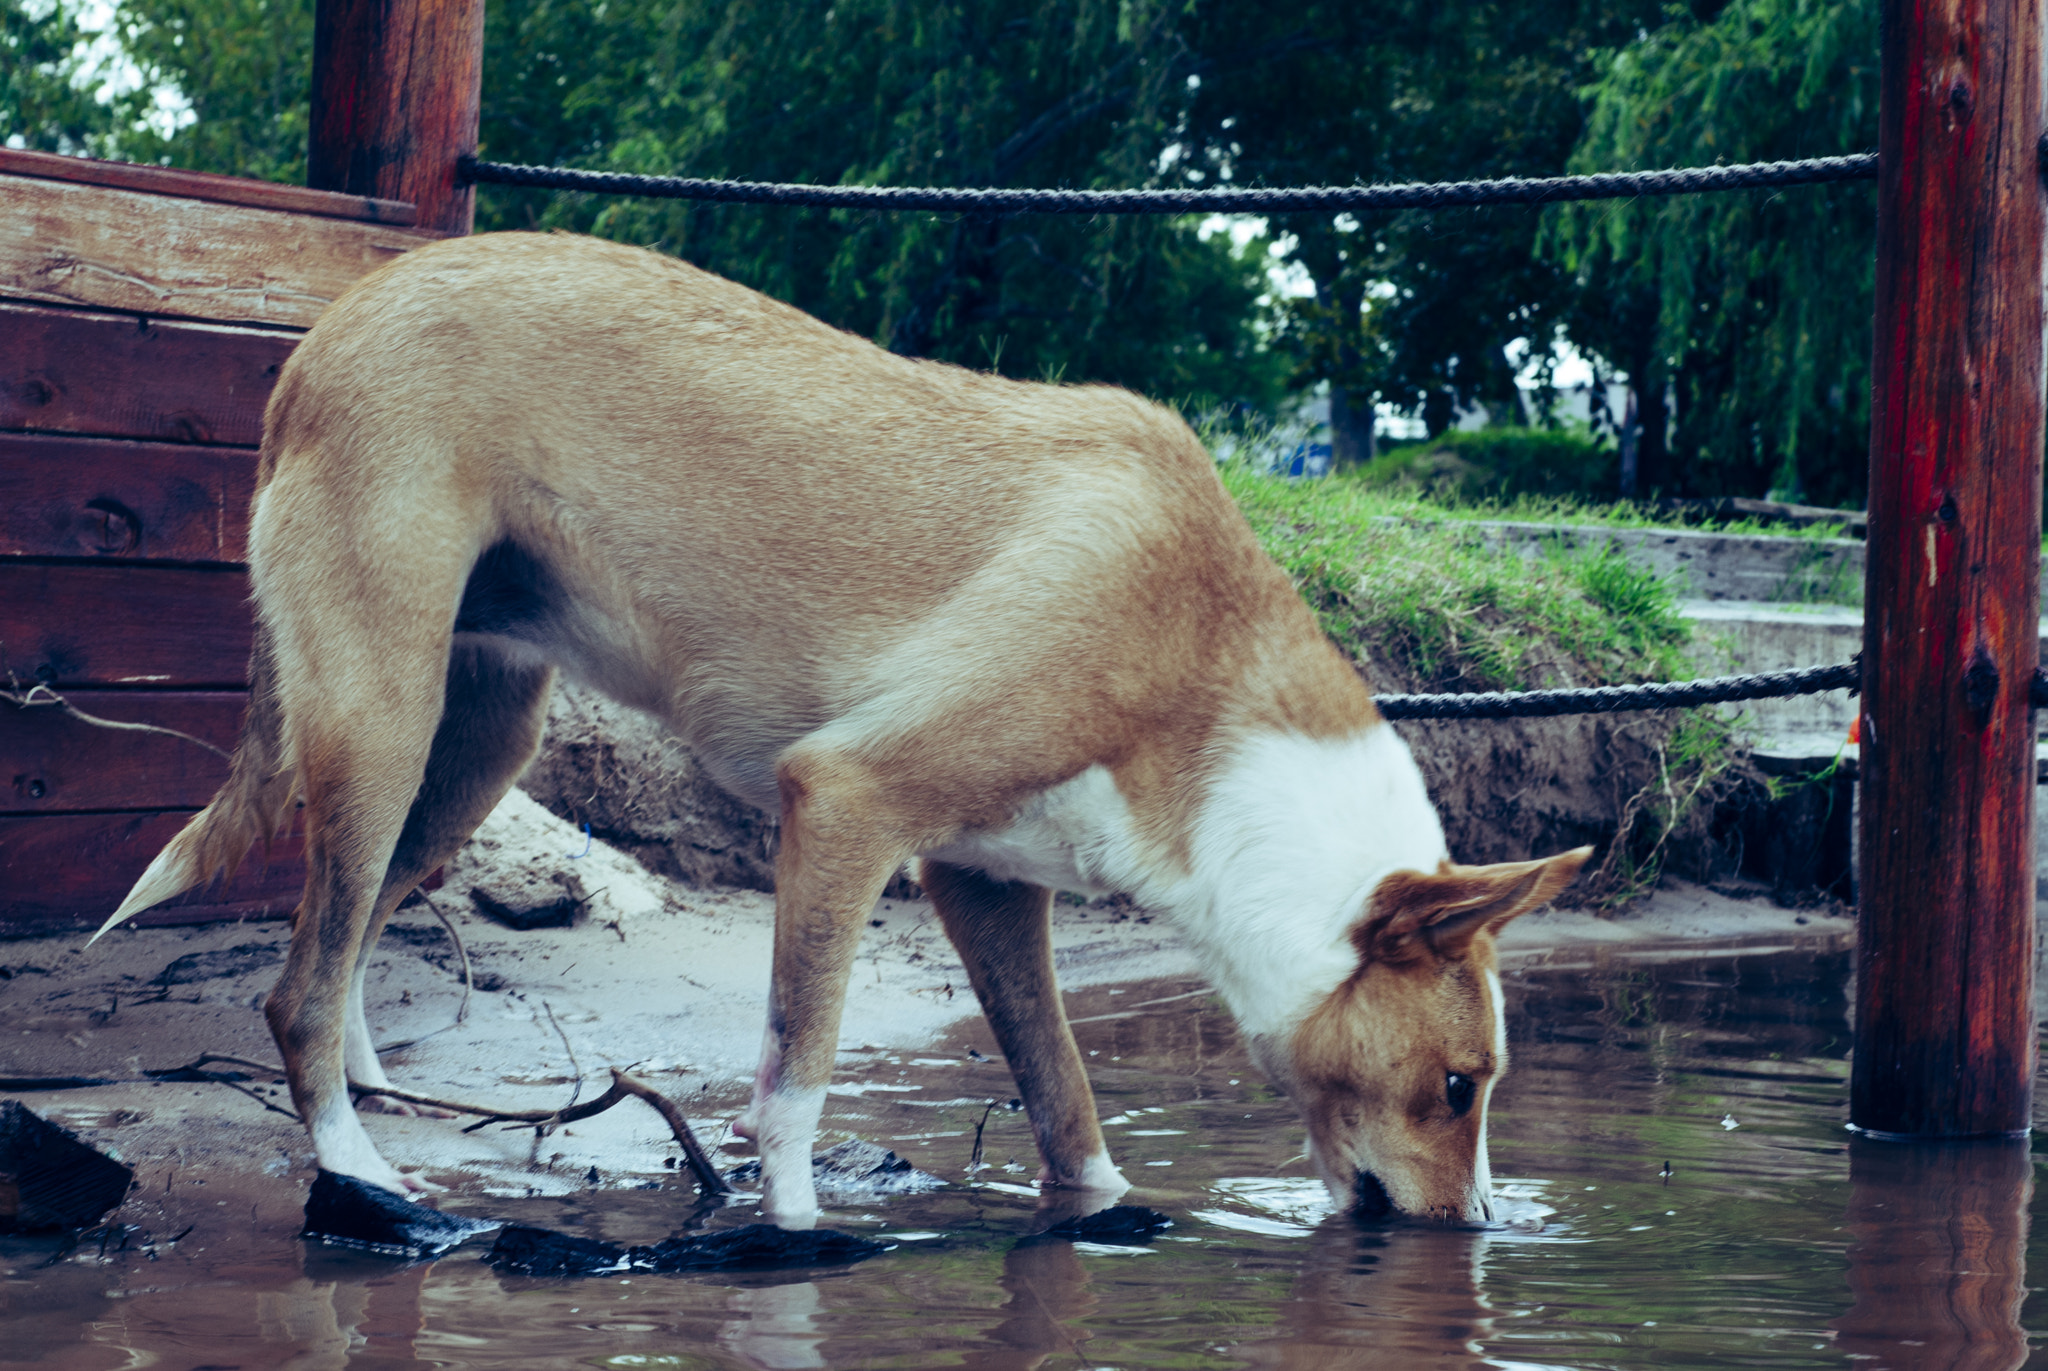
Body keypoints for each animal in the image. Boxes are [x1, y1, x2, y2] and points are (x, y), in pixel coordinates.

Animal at [96, 229, 1589, 1221]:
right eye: (1460, 1086)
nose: (1476, 1231)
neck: (1200, 669)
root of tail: (336, 320)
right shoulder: (845, 802)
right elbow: (795, 1080)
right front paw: (796, 1244)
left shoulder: (984, 883)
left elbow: (1065, 1100)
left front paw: (1102, 1216)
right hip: (384, 719)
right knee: (295, 982)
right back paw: (362, 1175)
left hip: (469, 748)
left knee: (347, 930)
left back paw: (379, 1090)